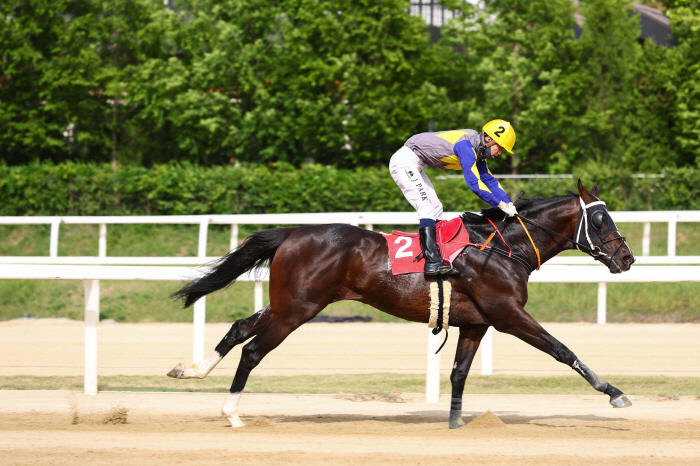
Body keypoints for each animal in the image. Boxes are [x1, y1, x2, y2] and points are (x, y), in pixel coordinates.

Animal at [168, 180, 636, 428]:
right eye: (600, 219)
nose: (627, 259)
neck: (504, 248)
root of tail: (293, 232)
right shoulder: (507, 314)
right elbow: (562, 349)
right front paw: (614, 392)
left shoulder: (476, 322)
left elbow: (459, 373)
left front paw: (455, 422)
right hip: (297, 309)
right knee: (252, 349)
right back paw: (232, 413)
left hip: (287, 303)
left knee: (239, 328)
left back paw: (190, 370)